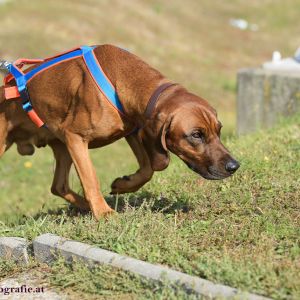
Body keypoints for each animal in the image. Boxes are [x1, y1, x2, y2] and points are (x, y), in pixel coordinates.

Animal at [0, 44, 239, 218]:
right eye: (196, 135)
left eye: (219, 130)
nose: (234, 166)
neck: (123, 78)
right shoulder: (75, 137)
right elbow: (91, 178)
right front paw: (104, 213)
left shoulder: (132, 130)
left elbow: (150, 168)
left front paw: (123, 185)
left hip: (62, 147)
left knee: (58, 186)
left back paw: (84, 206)